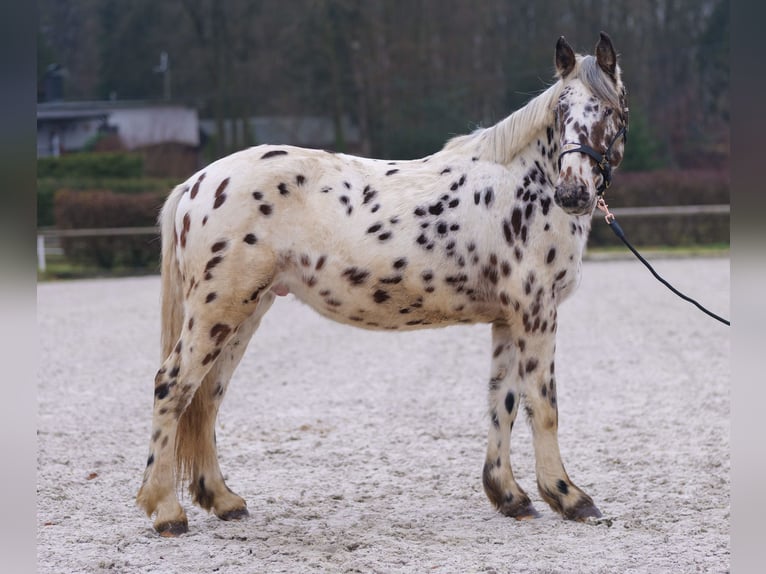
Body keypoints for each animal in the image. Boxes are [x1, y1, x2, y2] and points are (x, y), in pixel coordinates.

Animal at [138, 30, 632, 536]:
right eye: (561, 111)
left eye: (608, 109)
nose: (572, 193)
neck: (521, 186)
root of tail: (197, 183)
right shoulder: (536, 312)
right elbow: (544, 406)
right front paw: (569, 497)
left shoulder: (509, 319)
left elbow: (504, 402)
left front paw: (509, 495)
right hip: (219, 310)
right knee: (173, 386)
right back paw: (167, 511)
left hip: (246, 312)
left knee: (207, 397)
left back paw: (222, 500)